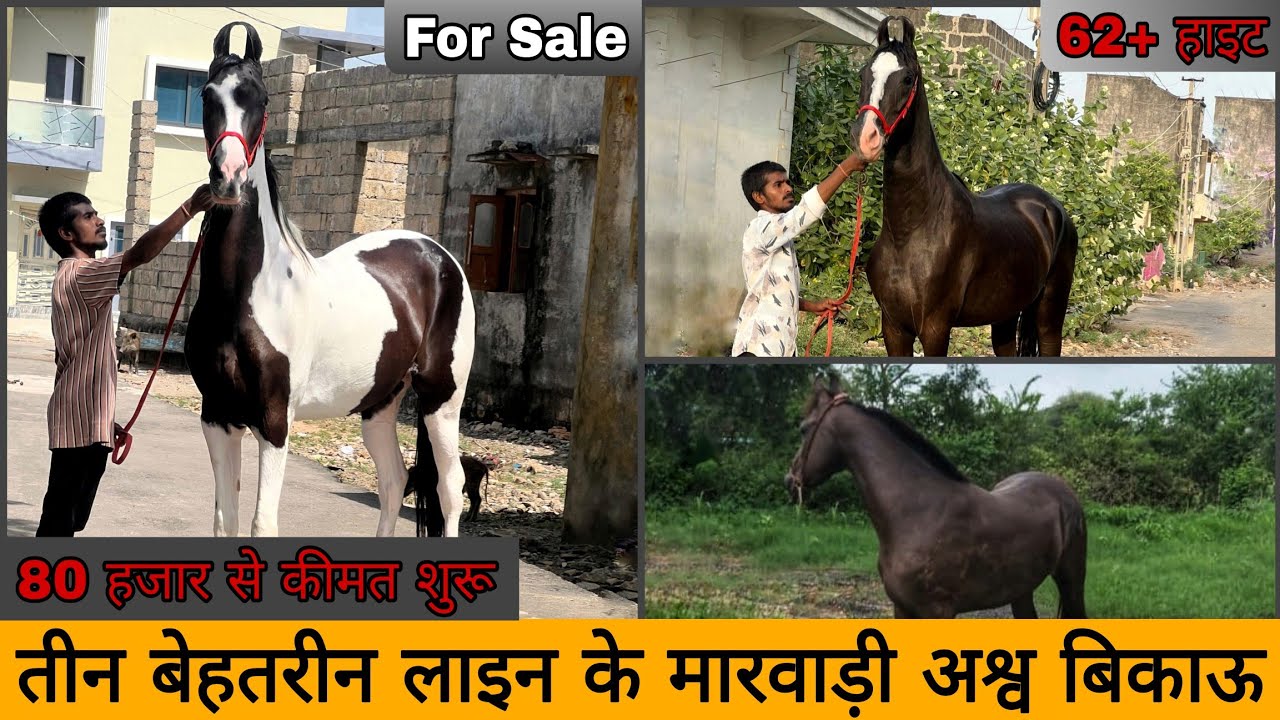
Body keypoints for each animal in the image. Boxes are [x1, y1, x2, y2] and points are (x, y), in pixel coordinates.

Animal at [185, 22, 475, 538]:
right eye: (207, 94)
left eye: (261, 97)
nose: (229, 178)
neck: (248, 297)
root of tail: (438, 256)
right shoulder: (217, 418)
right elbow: (225, 522)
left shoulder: (274, 424)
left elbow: (262, 524)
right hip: (379, 405)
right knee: (394, 481)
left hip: (442, 399)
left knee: (449, 487)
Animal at [784, 374, 1088, 619]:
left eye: (803, 428)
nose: (789, 480)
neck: (919, 513)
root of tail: (1062, 490)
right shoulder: (902, 608)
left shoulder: (938, 610)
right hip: (1021, 589)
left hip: (1071, 580)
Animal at [849, 16, 1079, 357]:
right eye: (865, 73)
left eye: (907, 78)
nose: (866, 137)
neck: (910, 231)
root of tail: (1053, 209)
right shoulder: (893, 328)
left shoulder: (935, 329)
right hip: (1005, 316)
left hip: (1050, 313)